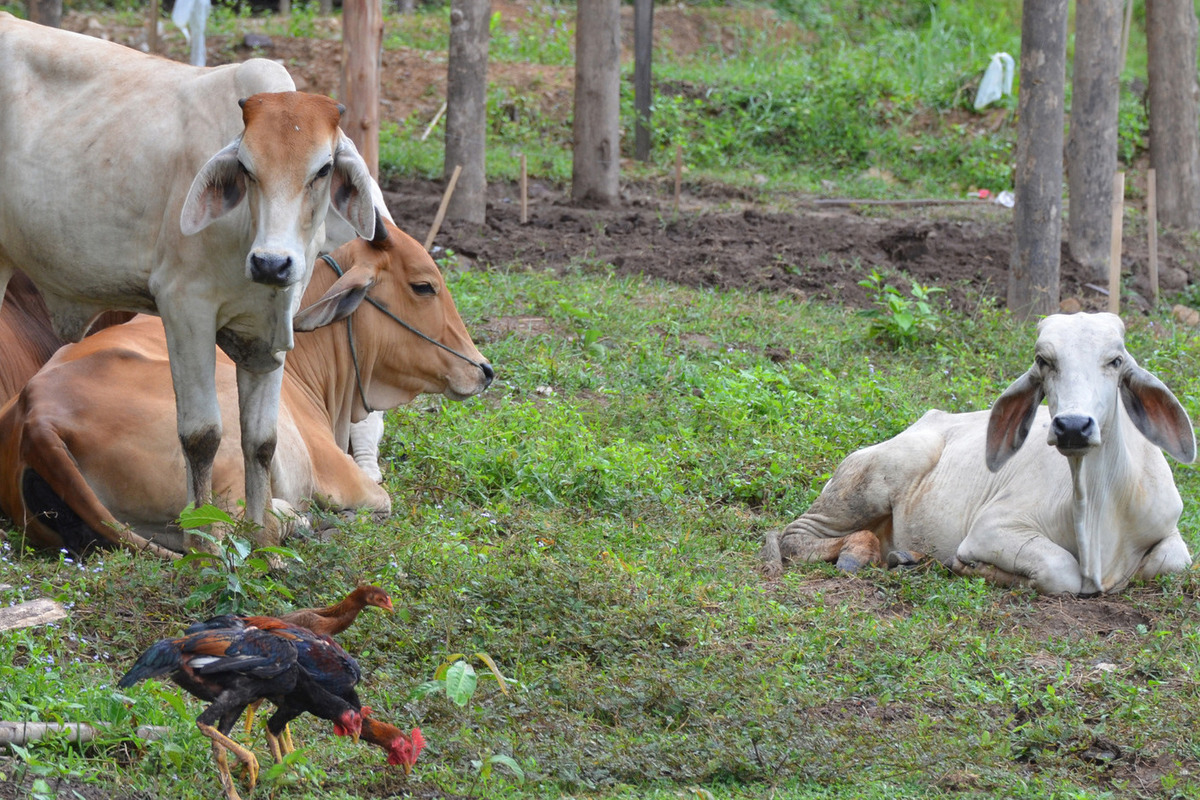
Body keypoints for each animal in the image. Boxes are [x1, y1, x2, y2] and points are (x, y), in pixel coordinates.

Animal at [0, 14, 379, 551]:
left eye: (323, 168)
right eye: (247, 168)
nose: (271, 263)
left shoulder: (269, 331)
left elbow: (260, 441)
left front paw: (261, 543)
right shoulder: (185, 310)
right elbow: (202, 436)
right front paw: (203, 549)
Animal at [0, 219, 492, 556]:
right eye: (423, 286)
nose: (484, 370)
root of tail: (36, 417)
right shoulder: (342, 478)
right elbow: (380, 496)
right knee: (229, 531)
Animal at [763, 311, 1195, 594]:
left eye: (1116, 360)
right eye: (1044, 361)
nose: (1073, 426)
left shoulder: (1169, 529)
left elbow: (1172, 561)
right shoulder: (992, 529)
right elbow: (1061, 572)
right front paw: (969, 567)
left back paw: (904, 557)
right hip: (870, 483)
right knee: (793, 536)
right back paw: (861, 552)